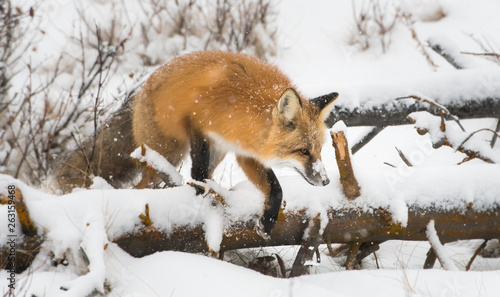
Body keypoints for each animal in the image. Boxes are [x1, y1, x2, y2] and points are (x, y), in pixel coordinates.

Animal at [55, 50, 340, 236]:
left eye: (319, 150)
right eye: (303, 151)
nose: (326, 181)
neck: (244, 106)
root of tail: (140, 92)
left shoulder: (243, 152)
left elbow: (276, 189)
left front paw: (267, 222)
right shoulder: (196, 124)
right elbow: (198, 172)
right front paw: (199, 200)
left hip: (213, 155)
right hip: (165, 156)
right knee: (143, 187)